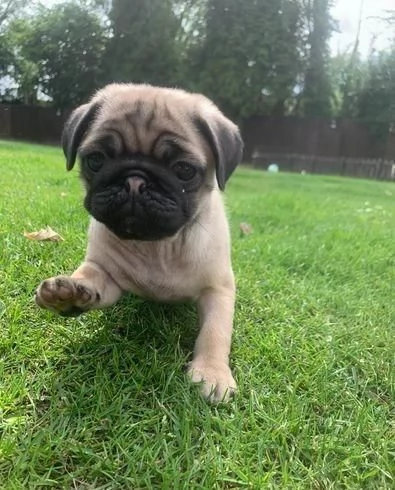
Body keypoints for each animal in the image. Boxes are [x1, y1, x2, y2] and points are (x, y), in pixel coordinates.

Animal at [34, 83, 244, 402]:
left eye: (184, 170)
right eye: (96, 160)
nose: (134, 180)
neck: (156, 247)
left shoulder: (218, 290)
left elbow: (215, 332)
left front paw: (212, 373)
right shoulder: (106, 275)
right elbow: (89, 277)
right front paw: (68, 294)